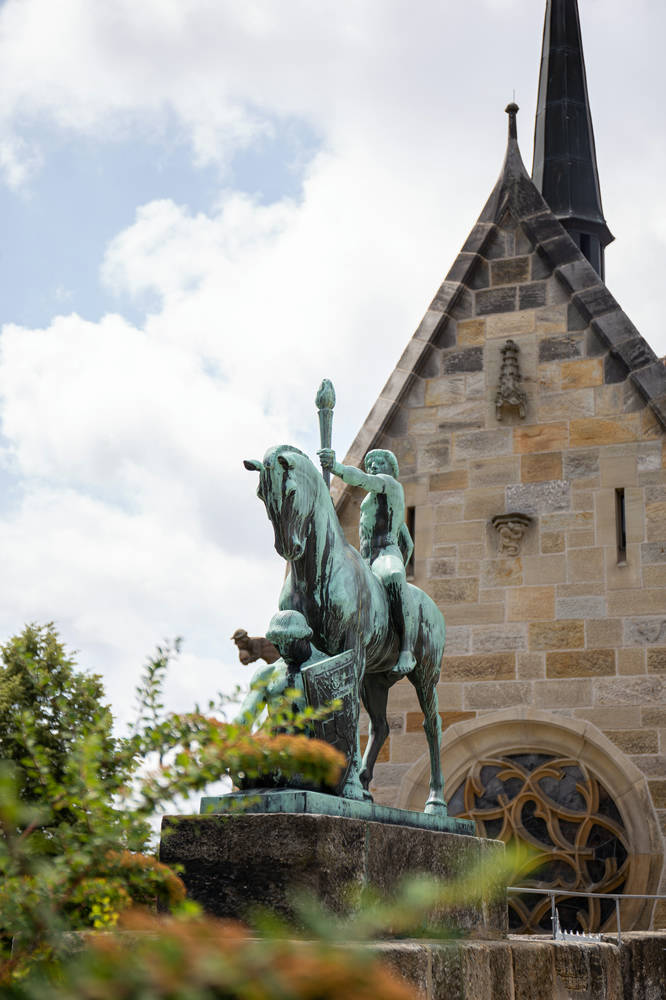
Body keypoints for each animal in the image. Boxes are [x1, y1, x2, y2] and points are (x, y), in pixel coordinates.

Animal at [244, 446, 446, 812]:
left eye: (291, 491)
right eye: (260, 494)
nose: (288, 548)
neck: (317, 572)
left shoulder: (352, 651)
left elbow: (349, 716)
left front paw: (347, 786)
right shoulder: (316, 653)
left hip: (425, 675)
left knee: (431, 725)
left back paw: (435, 802)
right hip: (376, 681)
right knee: (381, 727)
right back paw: (366, 787)